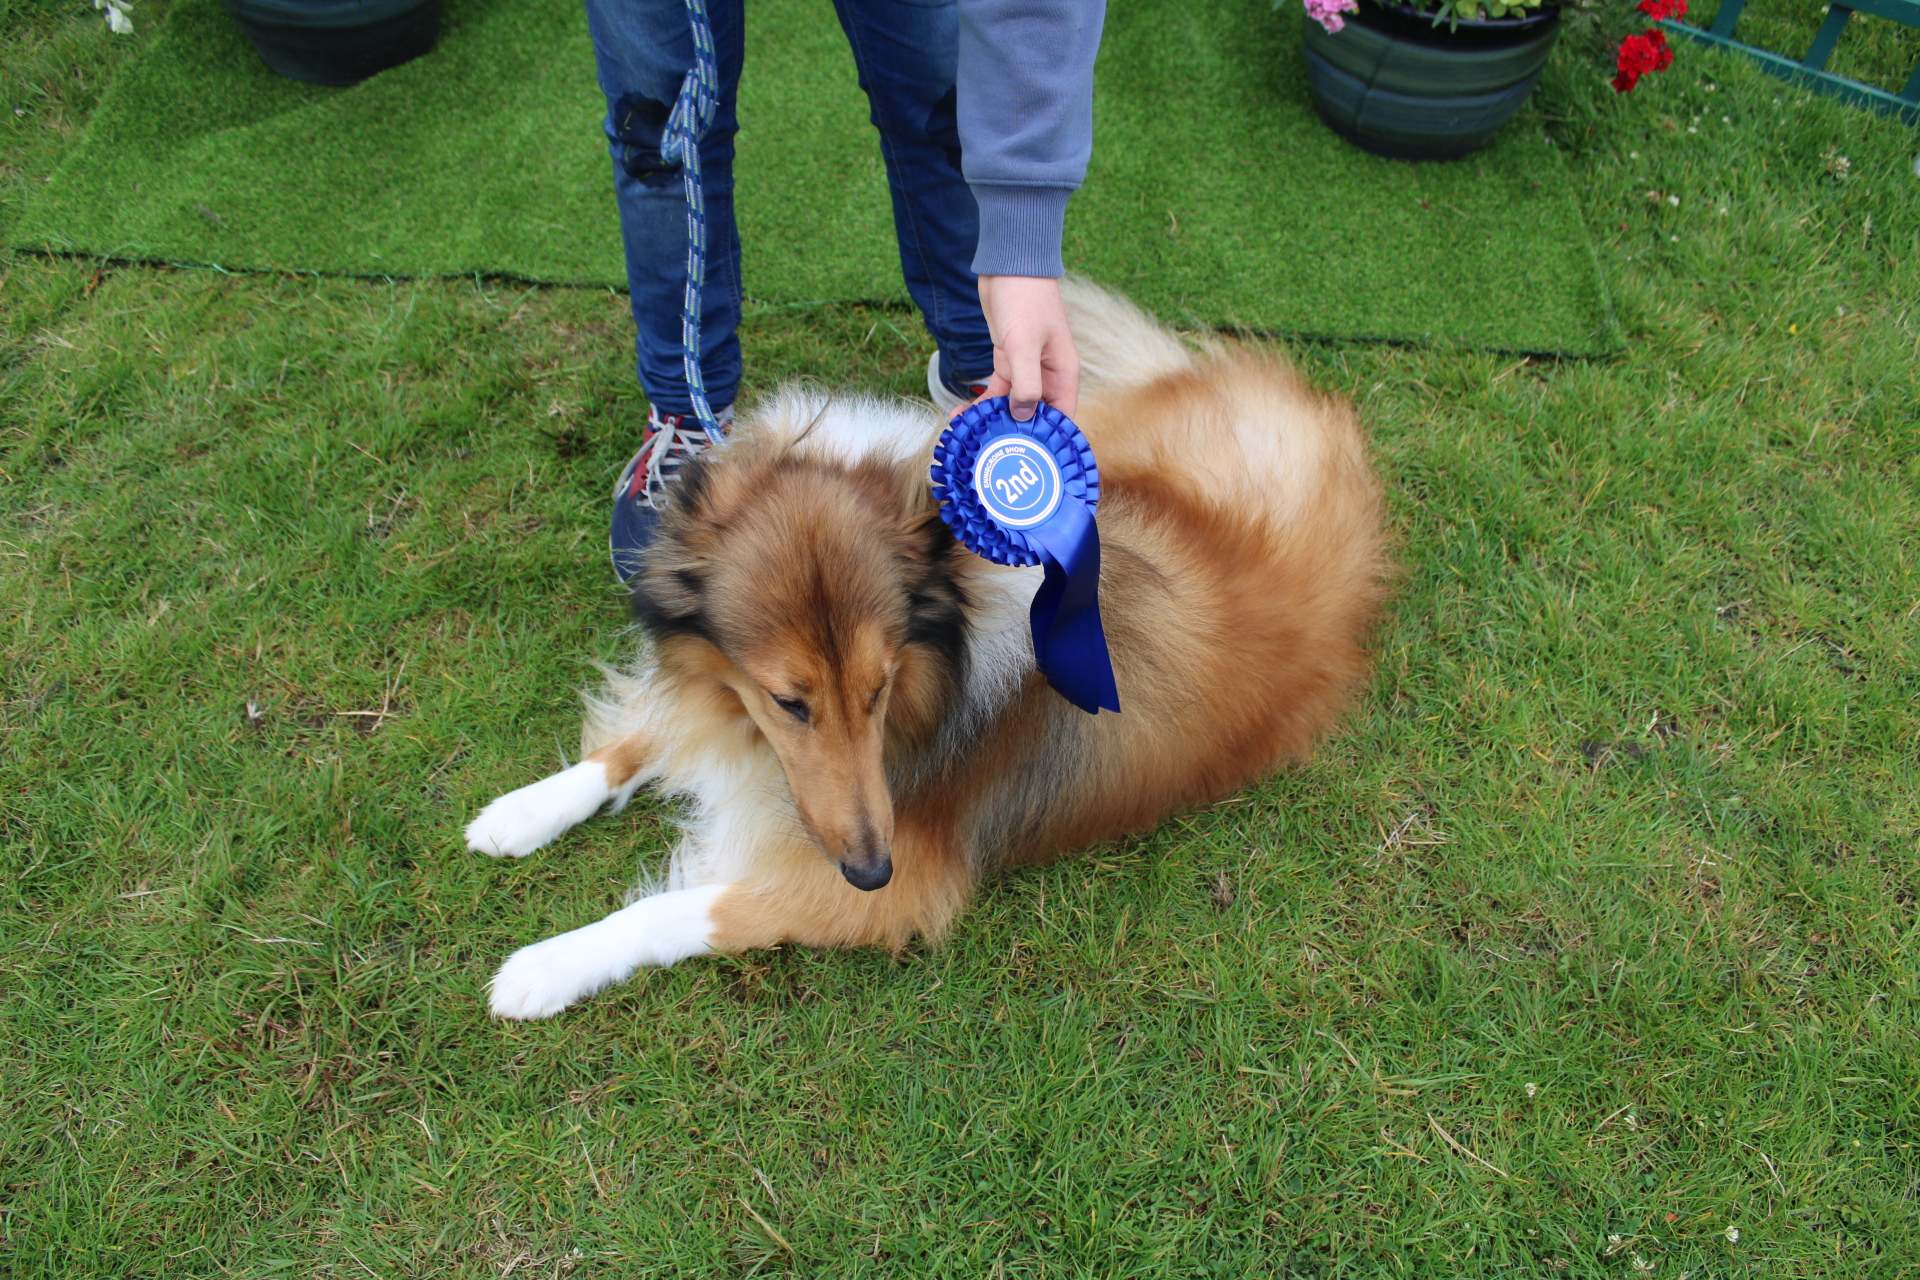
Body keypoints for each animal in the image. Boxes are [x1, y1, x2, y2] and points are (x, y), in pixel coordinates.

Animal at [466, 281, 1391, 1019]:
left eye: (880, 690)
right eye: (791, 701)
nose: (869, 868)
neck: (956, 625)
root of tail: (1315, 409)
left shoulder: (895, 884)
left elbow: (678, 909)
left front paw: (544, 967)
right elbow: (645, 736)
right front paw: (521, 811)